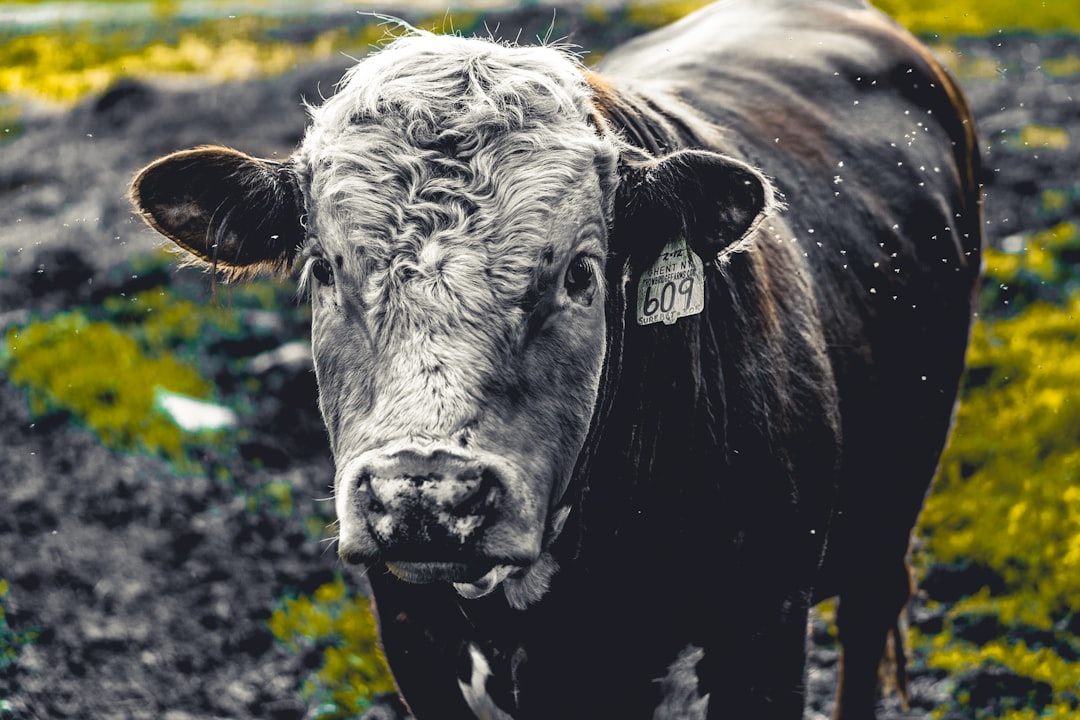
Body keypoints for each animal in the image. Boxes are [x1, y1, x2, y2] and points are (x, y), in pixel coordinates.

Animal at [129, 0, 982, 717]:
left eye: (580, 273)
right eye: (324, 269)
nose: (426, 494)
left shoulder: (766, 630)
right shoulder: (412, 636)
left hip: (892, 506)